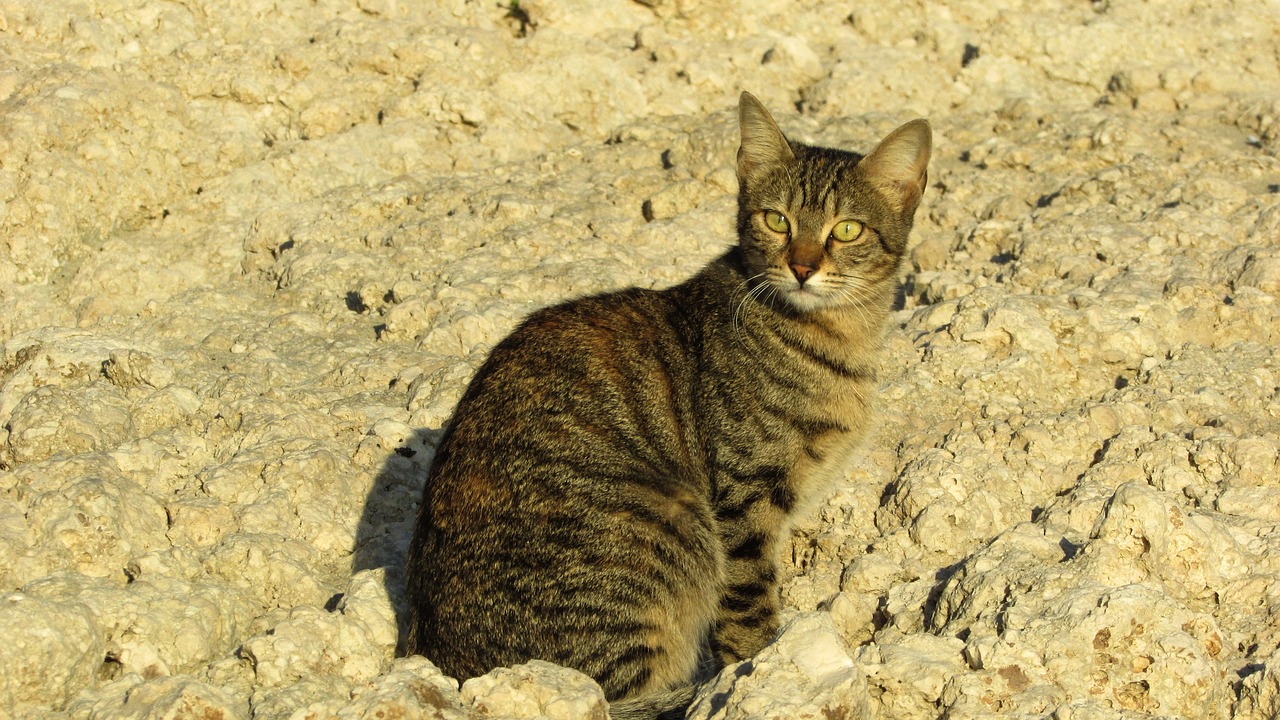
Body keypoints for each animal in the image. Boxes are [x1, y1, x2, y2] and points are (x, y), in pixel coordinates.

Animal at [404, 92, 936, 712]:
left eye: (847, 229)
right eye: (777, 220)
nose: (803, 267)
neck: (837, 337)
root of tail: (447, 667)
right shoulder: (743, 500)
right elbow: (748, 608)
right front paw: (761, 669)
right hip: (666, 528)